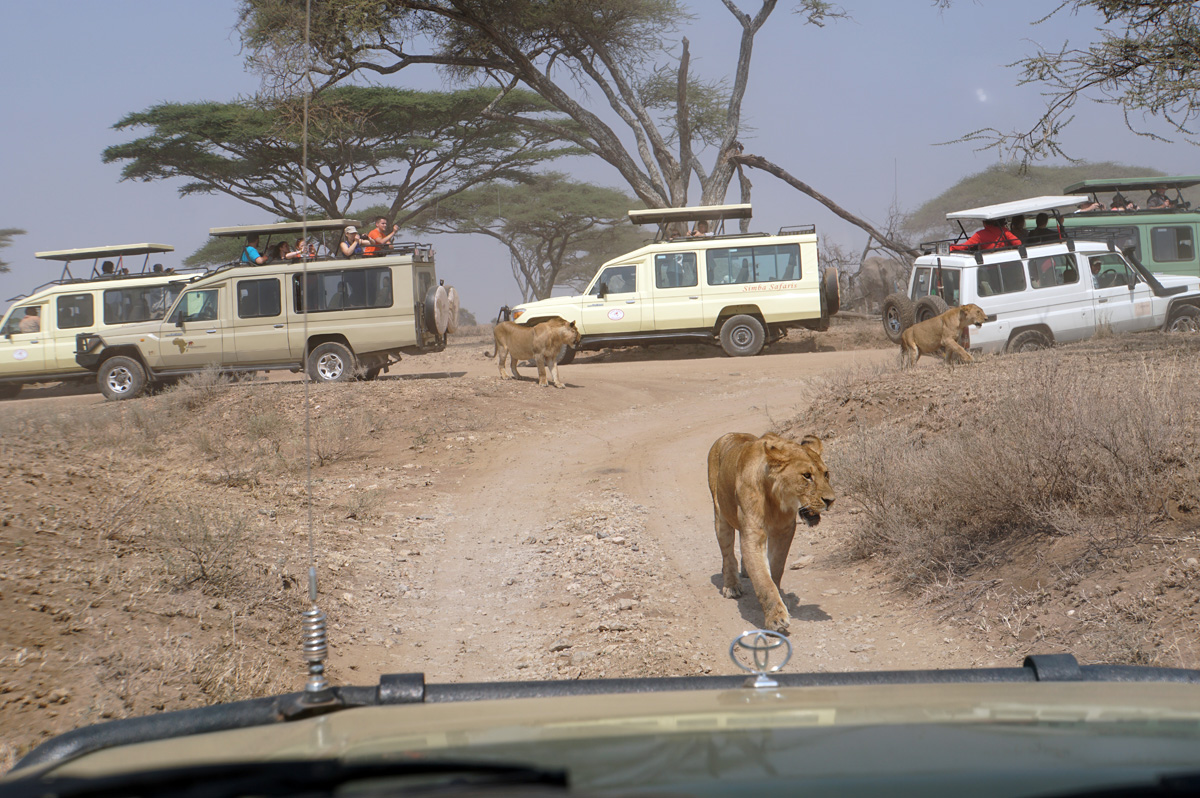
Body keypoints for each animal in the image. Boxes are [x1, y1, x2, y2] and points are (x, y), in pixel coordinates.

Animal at [707, 432, 834, 634]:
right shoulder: (753, 534)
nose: (831, 500)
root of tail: (730, 434)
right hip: (721, 516)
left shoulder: (785, 531)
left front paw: (779, 596)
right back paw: (732, 586)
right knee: (728, 555)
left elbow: (776, 568)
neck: (776, 500)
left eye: (826, 474)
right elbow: (763, 580)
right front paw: (776, 618)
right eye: (807, 476)